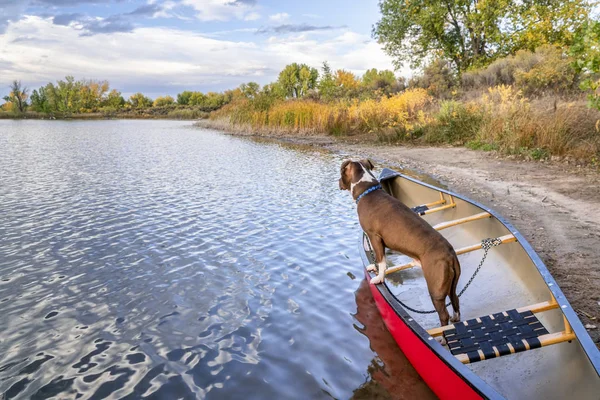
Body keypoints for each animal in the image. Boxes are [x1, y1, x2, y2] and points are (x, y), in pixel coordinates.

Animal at [340, 158, 462, 326]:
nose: (338, 182)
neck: (368, 190)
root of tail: (450, 254)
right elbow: (378, 259)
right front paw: (373, 267)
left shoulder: (374, 237)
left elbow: (381, 261)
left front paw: (379, 278)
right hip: (451, 285)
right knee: (455, 300)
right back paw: (456, 318)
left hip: (435, 289)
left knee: (443, 314)